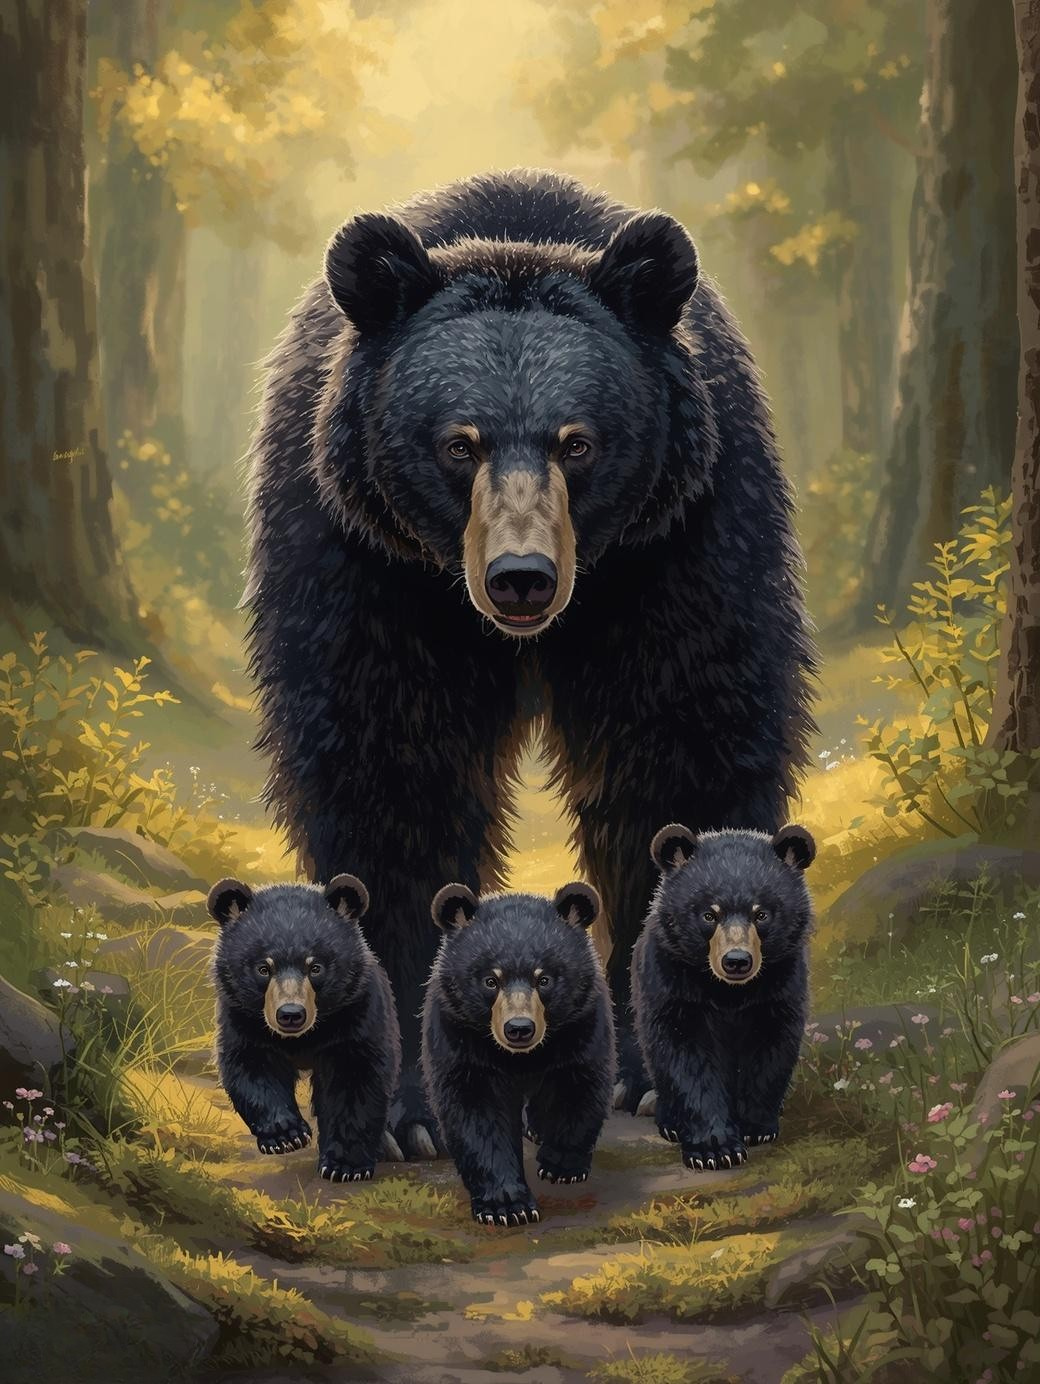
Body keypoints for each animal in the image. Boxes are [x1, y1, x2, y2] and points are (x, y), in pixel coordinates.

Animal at [209, 874, 400, 1181]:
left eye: (316, 967)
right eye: (264, 968)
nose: (290, 1015)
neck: (303, 1038)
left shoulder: (356, 1014)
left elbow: (356, 1080)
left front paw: (345, 1167)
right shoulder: (242, 1016)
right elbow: (250, 1066)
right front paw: (287, 1136)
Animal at [421, 881, 615, 1225]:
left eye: (545, 979)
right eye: (490, 980)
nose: (519, 1028)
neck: (522, 1058)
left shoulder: (581, 1024)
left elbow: (580, 1085)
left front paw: (561, 1165)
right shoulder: (459, 1035)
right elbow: (476, 1114)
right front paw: (507, 1207)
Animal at [631, 823, 815, 1171]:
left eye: (761, 914)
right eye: (708, 914)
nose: (737, 961)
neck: (729, 992)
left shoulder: (780, 984)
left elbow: (772, 1048)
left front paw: (756, 1127)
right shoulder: (673, 983)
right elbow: (685, 1059)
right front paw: (715, 1149)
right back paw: (669, 1122)